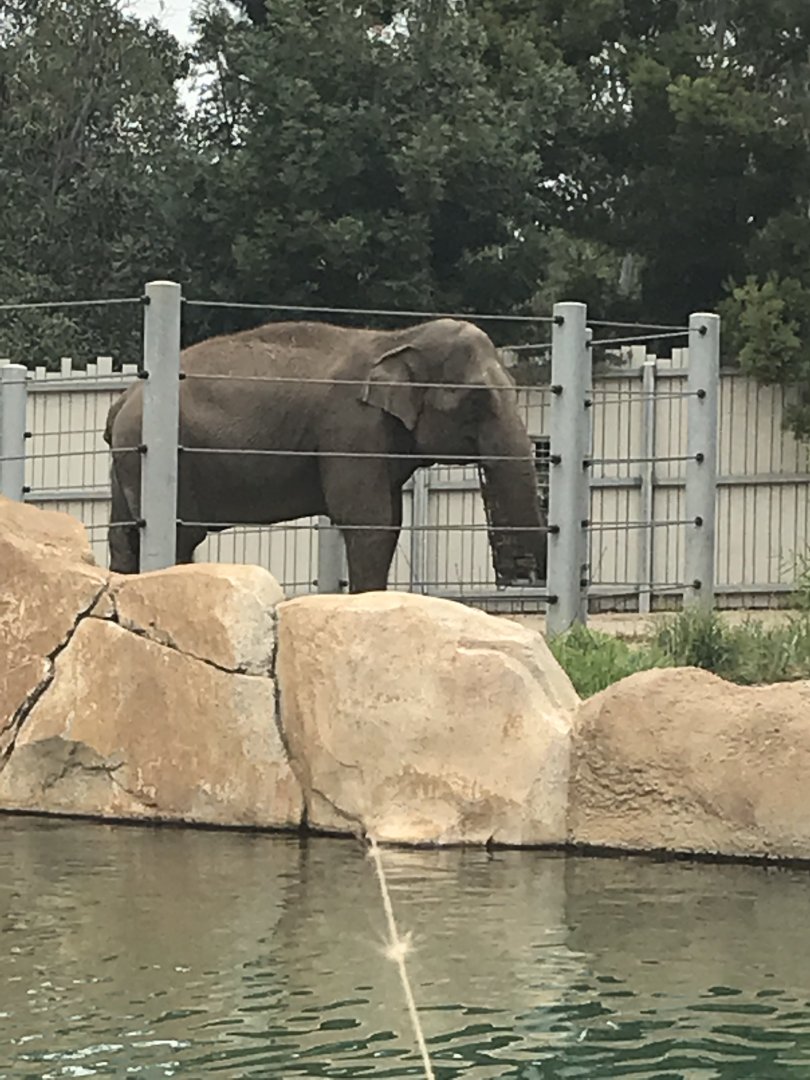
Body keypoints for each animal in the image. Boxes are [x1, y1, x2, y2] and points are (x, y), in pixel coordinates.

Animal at [103, 317, 548, 592]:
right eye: (477, 401)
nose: (522, 572)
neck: (397, 337)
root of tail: (125, 396)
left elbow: (389, 521)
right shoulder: (350, 427)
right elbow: (368, 521)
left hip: (126, 459)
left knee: (124, 534)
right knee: (179, 533)